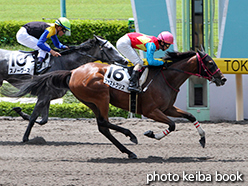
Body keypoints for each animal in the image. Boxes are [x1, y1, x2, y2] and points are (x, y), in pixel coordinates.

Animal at [10, 49, 227, 158]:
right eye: (209, 63)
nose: (222, 79)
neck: (166, 78)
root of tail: (73, 71)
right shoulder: (151, 110)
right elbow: (172, 125)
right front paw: (150, 133)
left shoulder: (168, 108)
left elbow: (190, 116)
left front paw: (203, 139)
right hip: (101, 97)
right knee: (104, 123)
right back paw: (130, 136)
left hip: (91, 102)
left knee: (102, 126)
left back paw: (128, 150)